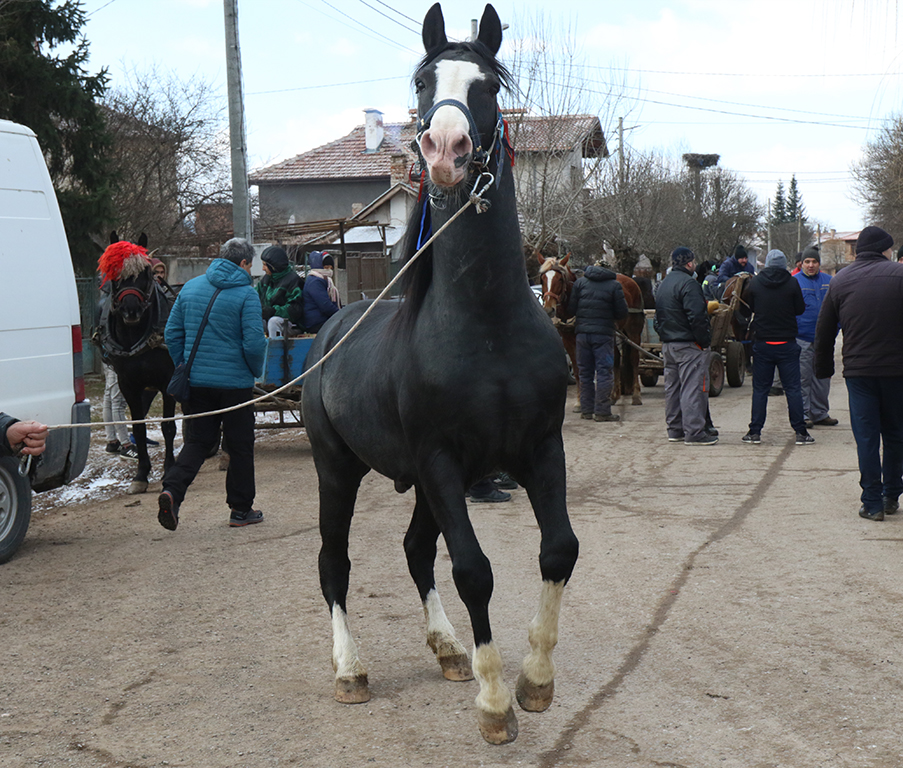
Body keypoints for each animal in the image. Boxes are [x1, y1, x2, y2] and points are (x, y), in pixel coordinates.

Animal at [98, 234, 177, 496]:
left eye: (146, 273)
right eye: (114, 275)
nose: (130, 310)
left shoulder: (168, 382)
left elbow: (168, 427)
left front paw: (169, 469)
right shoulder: (129, 385)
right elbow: (139, 428)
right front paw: (141, 474)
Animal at [300, 1, 576, 744]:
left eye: (487, 85)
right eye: (424, 83)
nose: (446, 149)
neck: (486, 327)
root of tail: (330, 333)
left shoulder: (538, 449)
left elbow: (557, 551)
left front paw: (535, 680)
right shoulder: (444, 461)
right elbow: (474, 571)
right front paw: (494, 703)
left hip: (419, 483)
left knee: (414, 550)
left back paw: (448, 649)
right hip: (339, 471)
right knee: (335, 563)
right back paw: (349, 670)